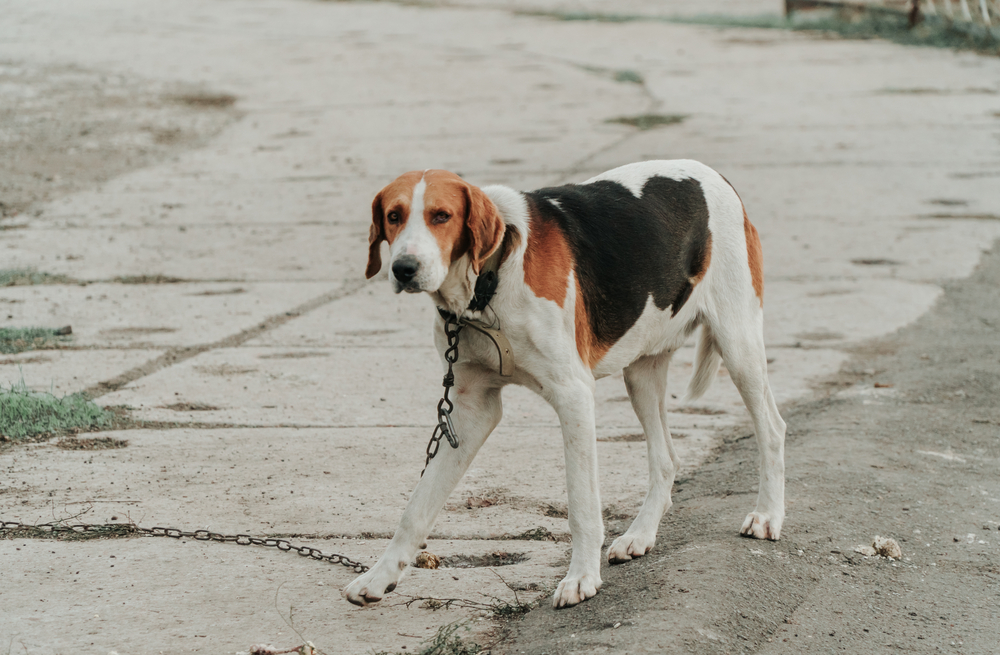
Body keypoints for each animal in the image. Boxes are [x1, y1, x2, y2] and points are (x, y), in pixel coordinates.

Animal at [348, 163, 784, 608]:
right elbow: (416, 508)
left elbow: (582, 505)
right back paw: (640, 535)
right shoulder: (470, 412)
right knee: (666, 459)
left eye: (441, 216)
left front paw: (581, 578)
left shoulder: (573, 396)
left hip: (738, 345)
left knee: (771, 428)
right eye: (394, 216)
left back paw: (767, 515)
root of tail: (712, 174)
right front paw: (380, 576)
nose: (403, 268)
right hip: (641, 372)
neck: (489, 283)